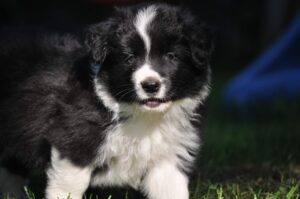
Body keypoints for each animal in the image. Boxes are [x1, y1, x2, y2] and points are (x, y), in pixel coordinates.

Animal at [0, 3, 212, 199]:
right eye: (129, 58)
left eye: (171, 56)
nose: (150, 86)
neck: (140, 114)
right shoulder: (74, 141)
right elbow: (69, 186)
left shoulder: (168, 155)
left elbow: (172, 189)